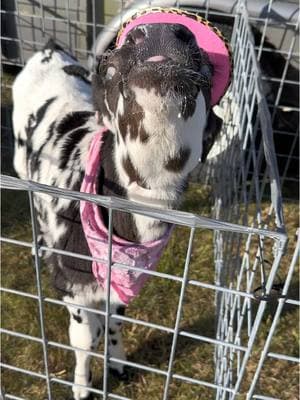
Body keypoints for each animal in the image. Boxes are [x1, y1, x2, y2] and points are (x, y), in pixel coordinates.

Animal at [12, 24, 220, 400]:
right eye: (108, 72)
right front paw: (81, 387)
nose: (161, 32)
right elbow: (84, 337)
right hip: (20, 166)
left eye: (207, 75)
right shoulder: (71, 283)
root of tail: (49, 49)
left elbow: (115, 320)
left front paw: (119, 363)